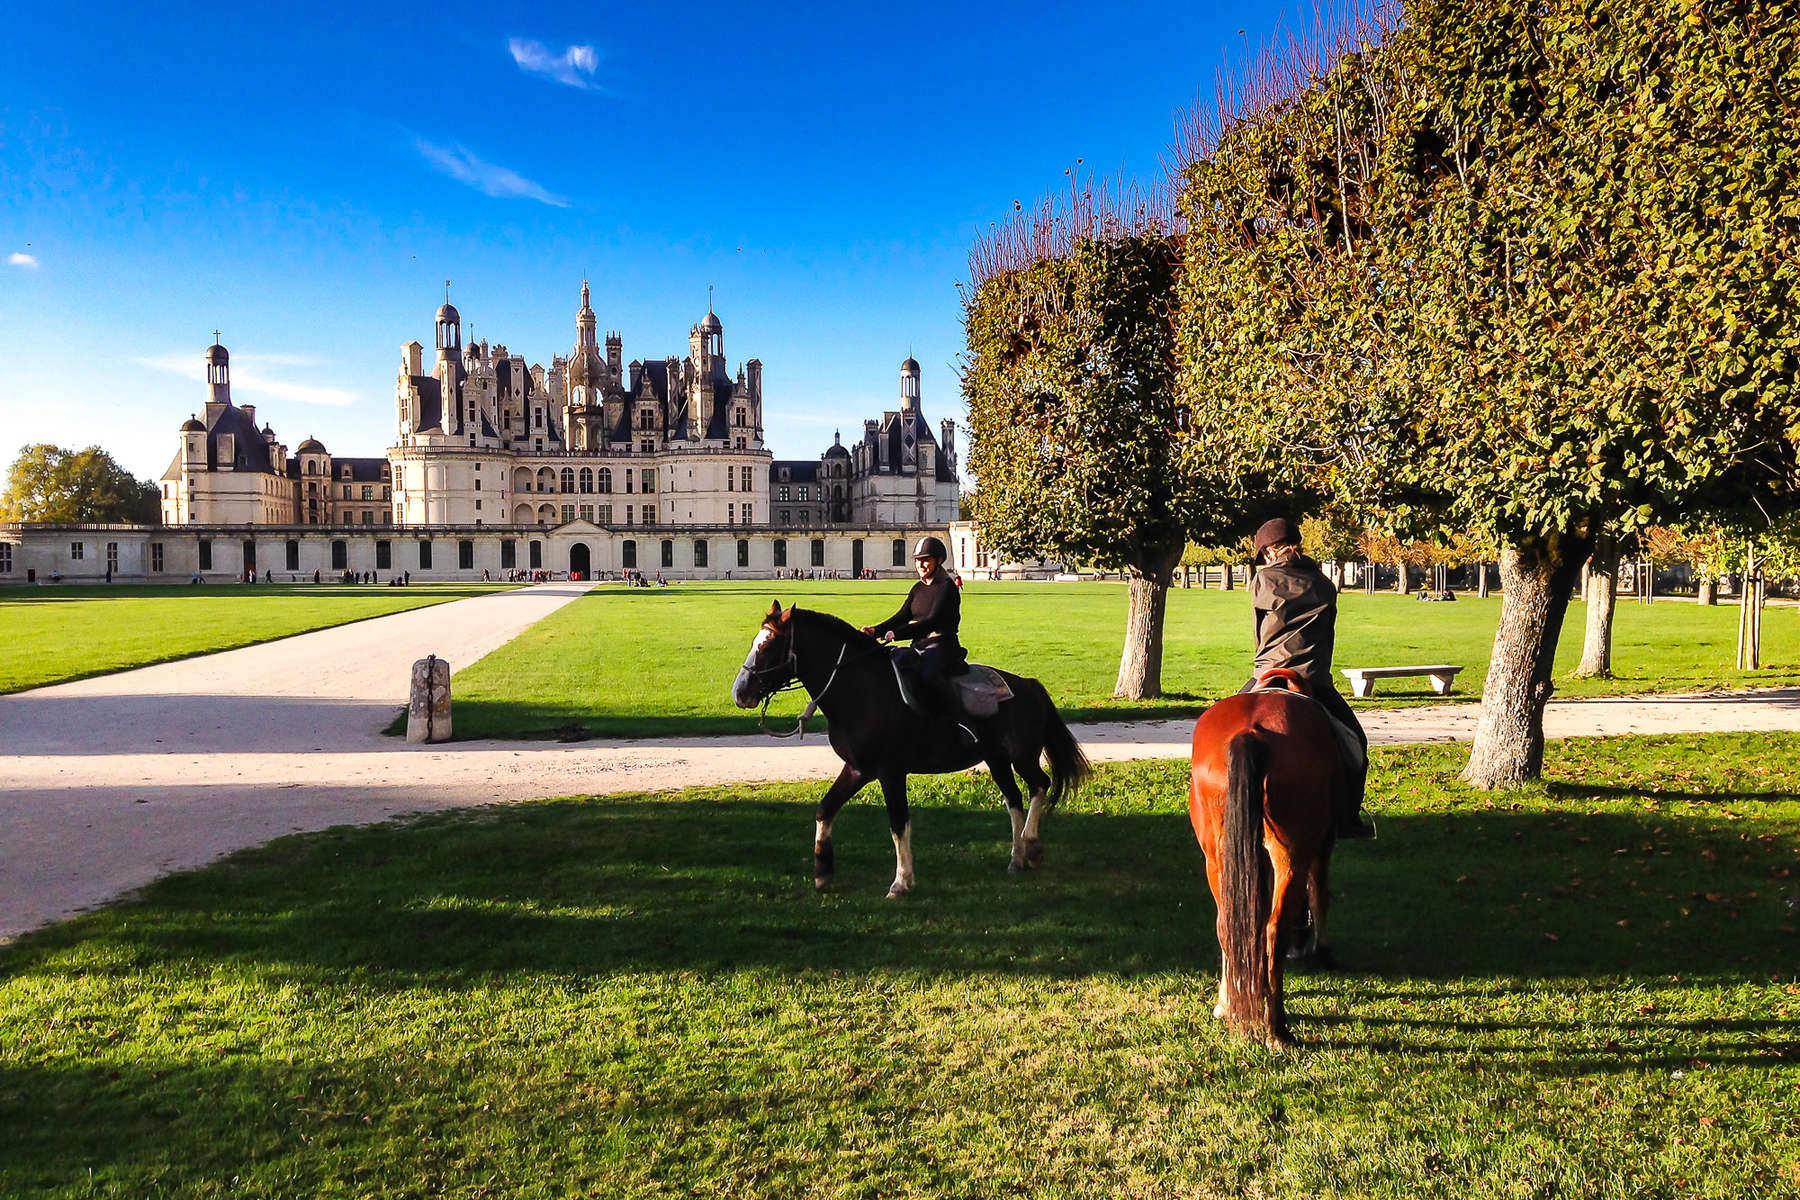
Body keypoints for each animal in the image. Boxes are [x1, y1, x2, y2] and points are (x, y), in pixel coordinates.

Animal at [727, 604, 1087, 895]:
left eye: (768, 645)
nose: (739, 692)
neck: (860, 691)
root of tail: (1029, 684)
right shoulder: (857, 769)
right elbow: (825, 810)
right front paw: (823, 872)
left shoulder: (891, 771)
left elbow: (898, 823)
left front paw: (901, 881)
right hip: (996, 759)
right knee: (1014, 800)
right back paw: (1018, 856)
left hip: (1020, 755)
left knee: (1039, 785)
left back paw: (1030, 845)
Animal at [1188, 676, 1346, 1050]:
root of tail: (1253, 730)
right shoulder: (1322, 844)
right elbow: (1319, 893)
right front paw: (1324, 951)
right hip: (1291, 853)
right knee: (1275, 928)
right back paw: (1277, 1027)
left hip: (1217, 854)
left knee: (1227, 922)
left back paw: (1228, 1004)